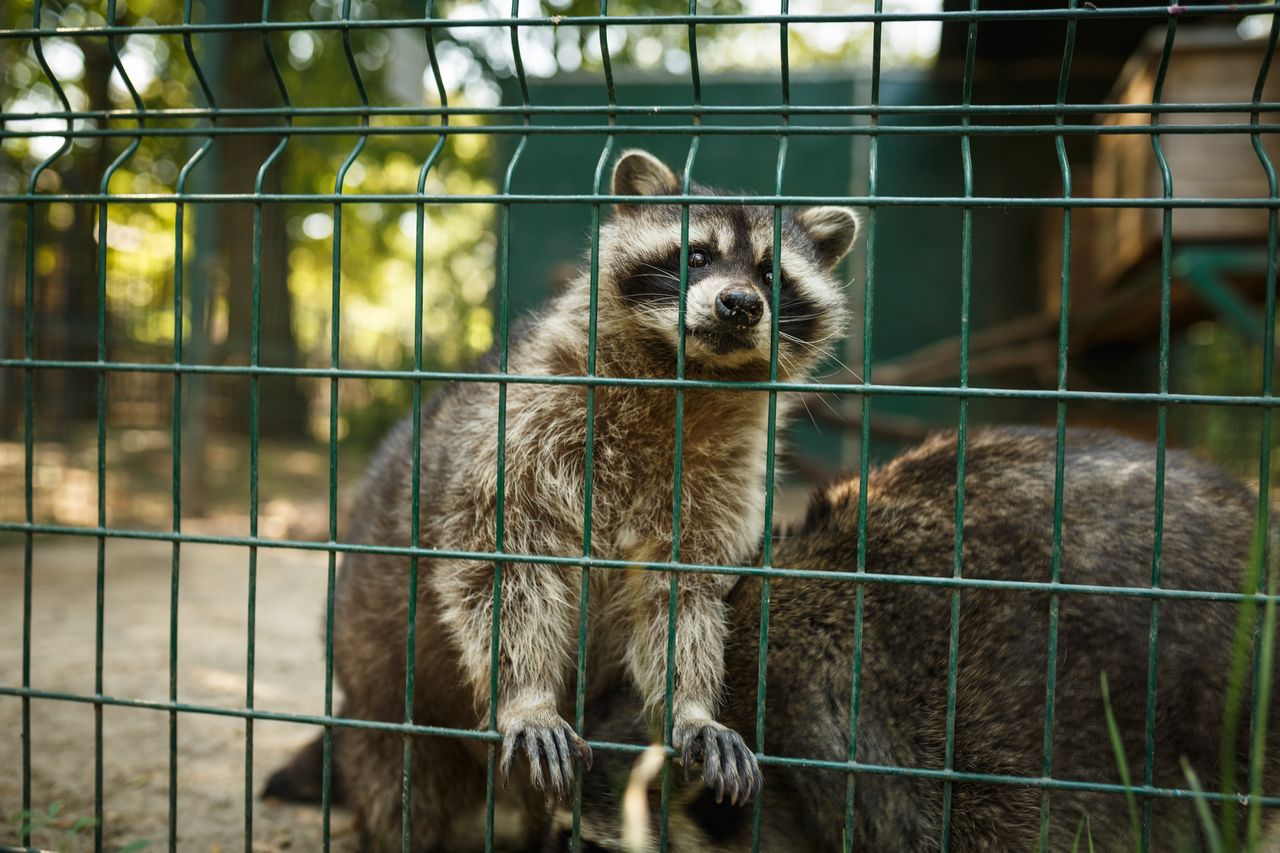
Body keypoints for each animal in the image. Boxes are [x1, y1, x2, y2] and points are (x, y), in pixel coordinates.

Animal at [280, 149, 860, 845]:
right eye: (696, 255)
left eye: (773, 276)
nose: (741, 304)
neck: (685, 377)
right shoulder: (530, 421)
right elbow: (501, 566)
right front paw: (527, 695)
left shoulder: (723, 481)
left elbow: (683, 597)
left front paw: (690, 705)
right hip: (383, 696)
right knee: (400, 789)